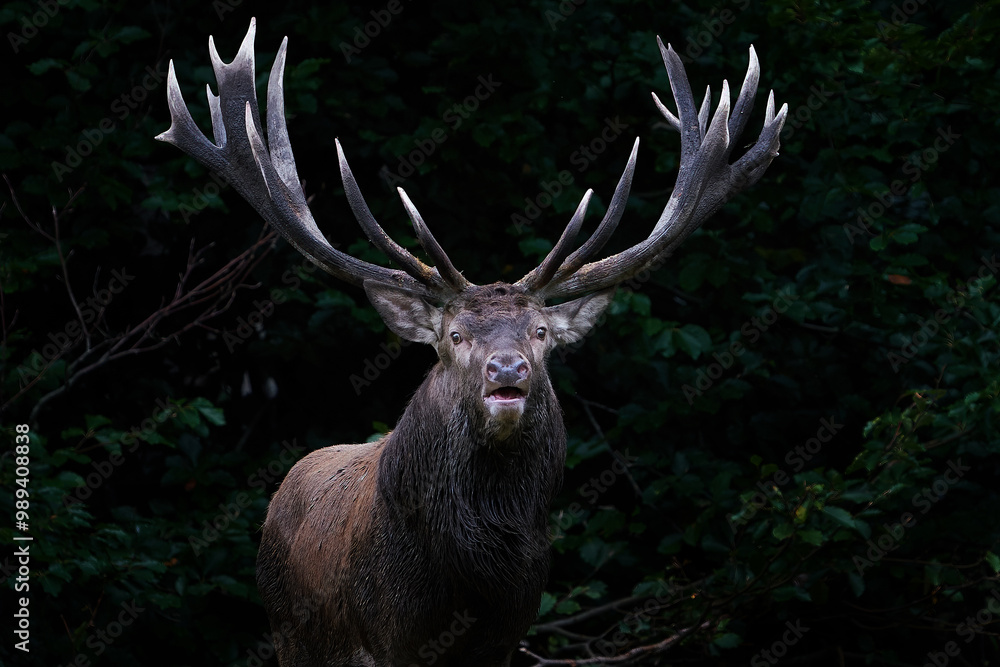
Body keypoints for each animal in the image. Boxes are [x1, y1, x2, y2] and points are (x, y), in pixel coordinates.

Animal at [156, 17, 786, 667]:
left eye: (540, 333)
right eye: (454, 335)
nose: (506, 369)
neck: (470, 584)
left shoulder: (509, 631)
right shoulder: (385, 637)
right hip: (289, 633)